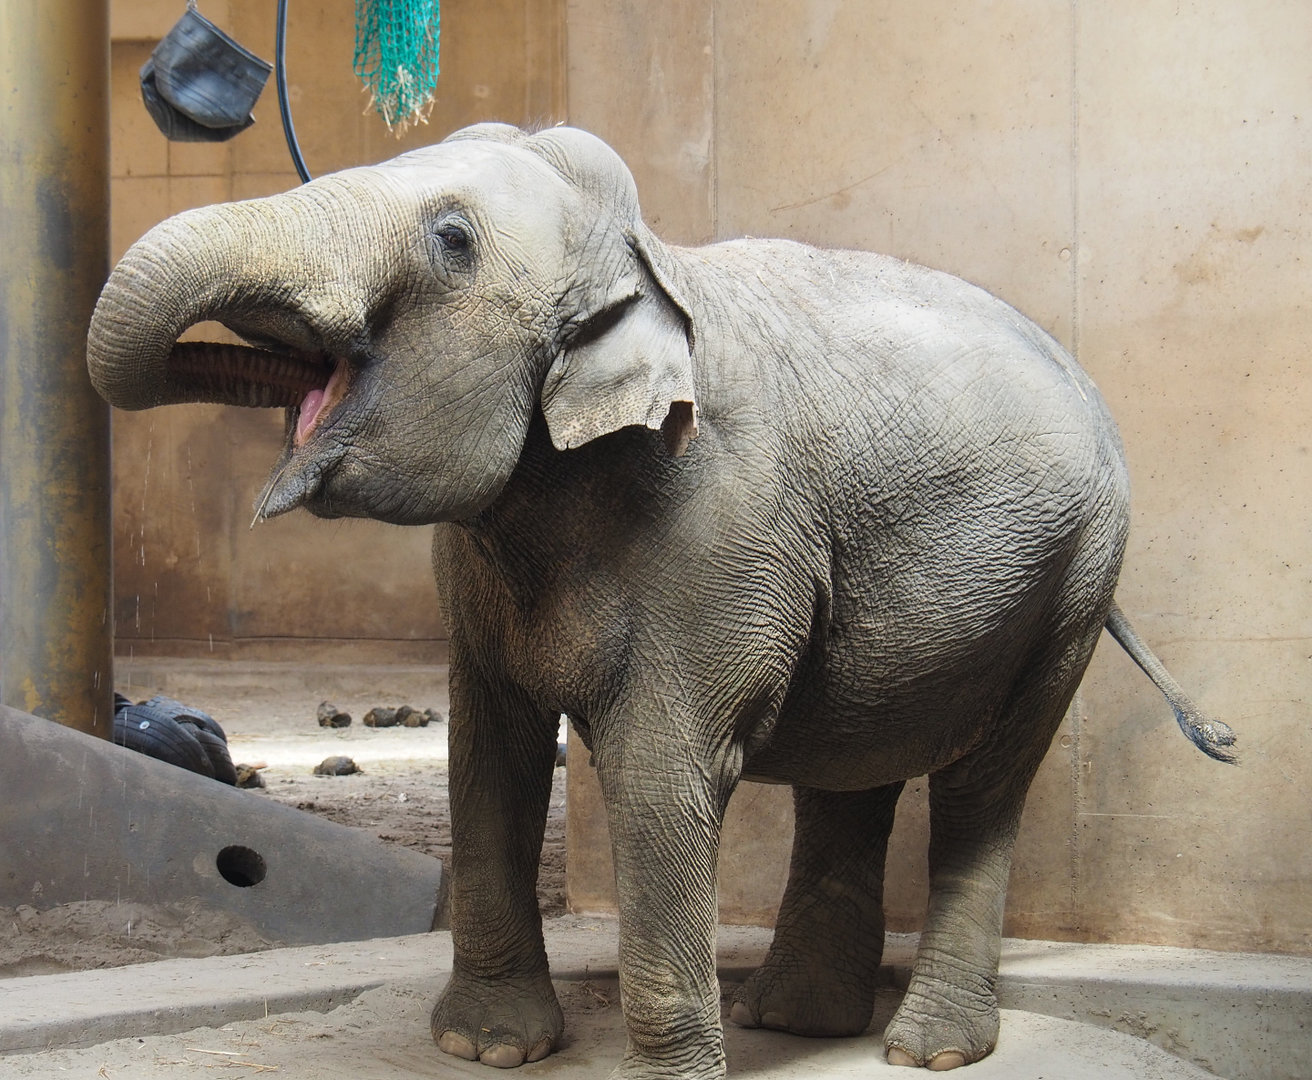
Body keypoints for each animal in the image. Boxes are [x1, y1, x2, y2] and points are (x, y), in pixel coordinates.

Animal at [86, 123, 1236, 1075]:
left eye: (451, 240)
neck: (643, 262)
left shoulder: (719, 530)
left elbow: (660, 773)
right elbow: (488, 756)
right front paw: (487, 1049)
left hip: (1079, 576)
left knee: (984, 784)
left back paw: (927, 1049)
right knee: (852, 765)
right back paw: (799, 1023)